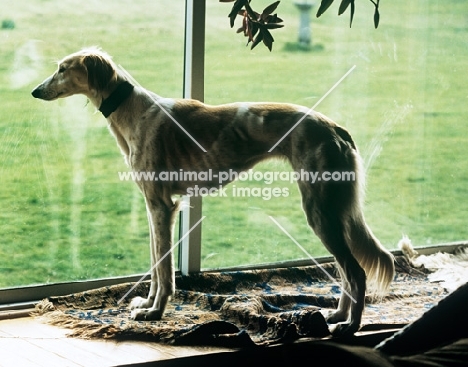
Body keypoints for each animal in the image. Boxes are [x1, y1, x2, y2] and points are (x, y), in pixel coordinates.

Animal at [31, 48, 394, 336]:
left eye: (62, 68)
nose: (34, 92)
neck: (133, 112)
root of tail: (335, 127)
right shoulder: (153, 206)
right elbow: (156, 263)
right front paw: (147, 304)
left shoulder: (162, 206)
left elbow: (164, 270)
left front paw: (155, 312)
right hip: (330, 211)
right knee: (346, 271)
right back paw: (338, 315)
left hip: (319, 209)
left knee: (356, 271)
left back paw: (351, 325)